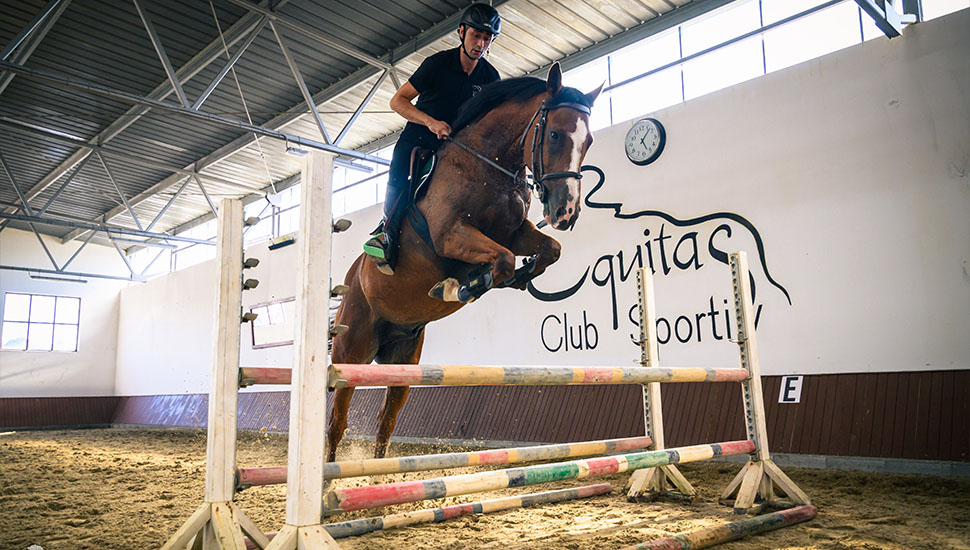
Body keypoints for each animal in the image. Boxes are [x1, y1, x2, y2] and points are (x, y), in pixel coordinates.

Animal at [328, 62, 600, 464]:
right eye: (553, 135)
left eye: (588, 141)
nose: (565, 212)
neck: (486, 166)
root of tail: (349, 284)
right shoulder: (450, 236)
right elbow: (502, 260)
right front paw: (460, 286)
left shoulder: (514, 232)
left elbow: (548, 250)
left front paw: (516, 277)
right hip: (352, 350)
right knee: (336, 422)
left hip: (404, 359)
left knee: (386, 420)